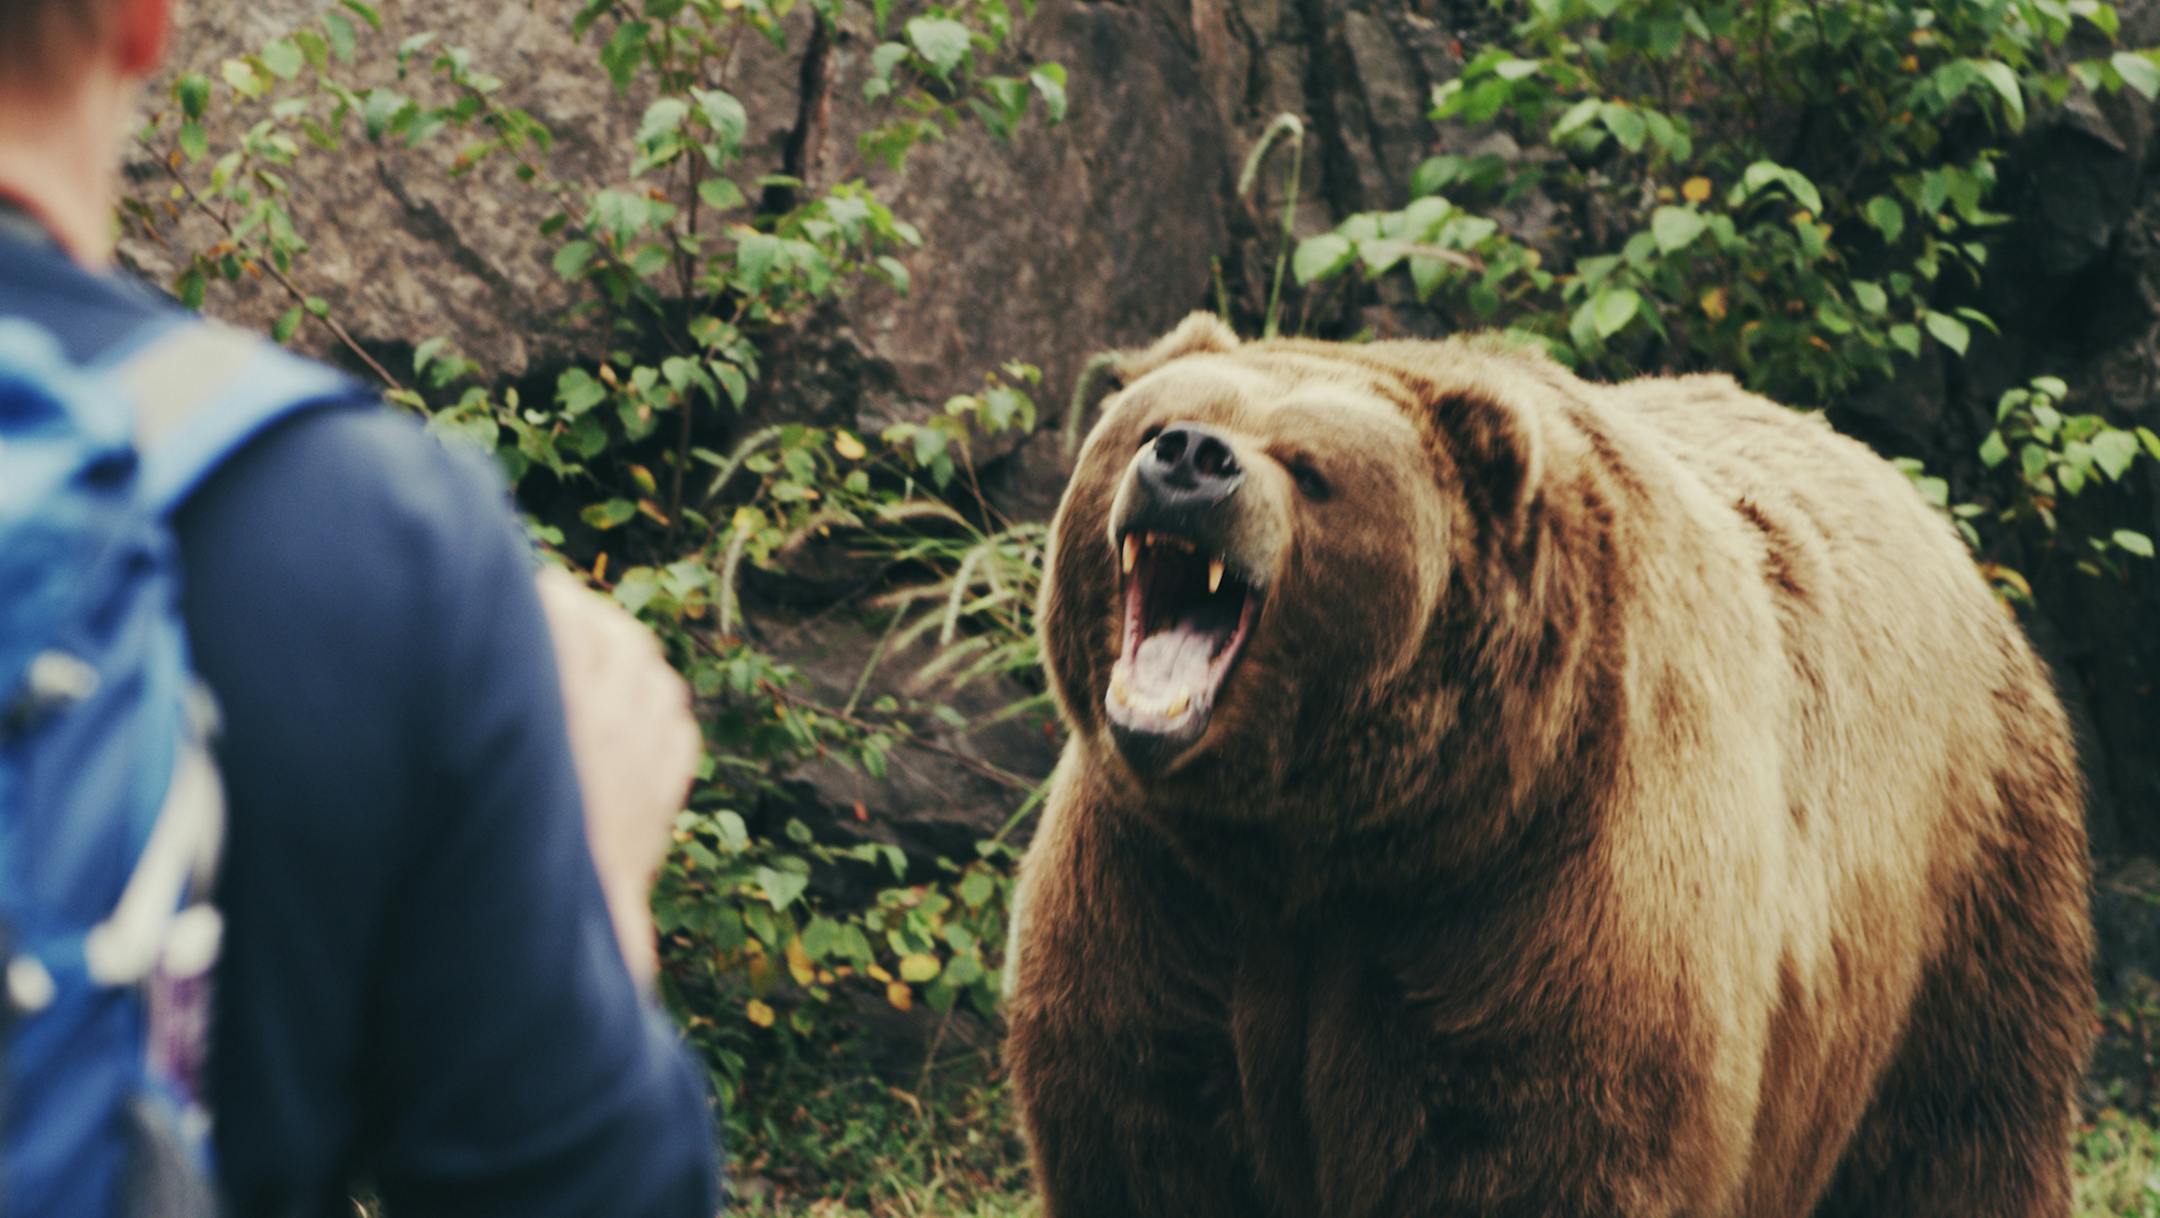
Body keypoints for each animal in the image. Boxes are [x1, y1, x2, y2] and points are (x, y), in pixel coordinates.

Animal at [1004, 314, 2095, 1218]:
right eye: (1157, 422)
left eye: (1310, 467)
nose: (1192, 459)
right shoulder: (1160, 889)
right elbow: (1145, 1127)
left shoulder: (1551, 890)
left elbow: (1538, 1148)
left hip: (1963, 889)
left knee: (1962, 1134)